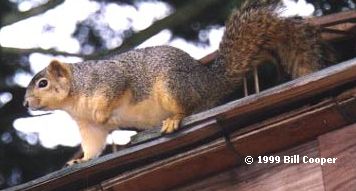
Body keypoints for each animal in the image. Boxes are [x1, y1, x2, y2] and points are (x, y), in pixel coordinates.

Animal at [22, 0, 334, 165]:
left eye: (42, 83)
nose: (25, 103)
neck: (75, 97)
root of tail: (209, 81)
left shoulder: (110, 79)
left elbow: (115, 91)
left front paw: (103, 111)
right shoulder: (89, 128)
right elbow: (93, 144)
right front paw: (82, 160)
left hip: (173, 85)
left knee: (186, 107)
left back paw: (173, 120)